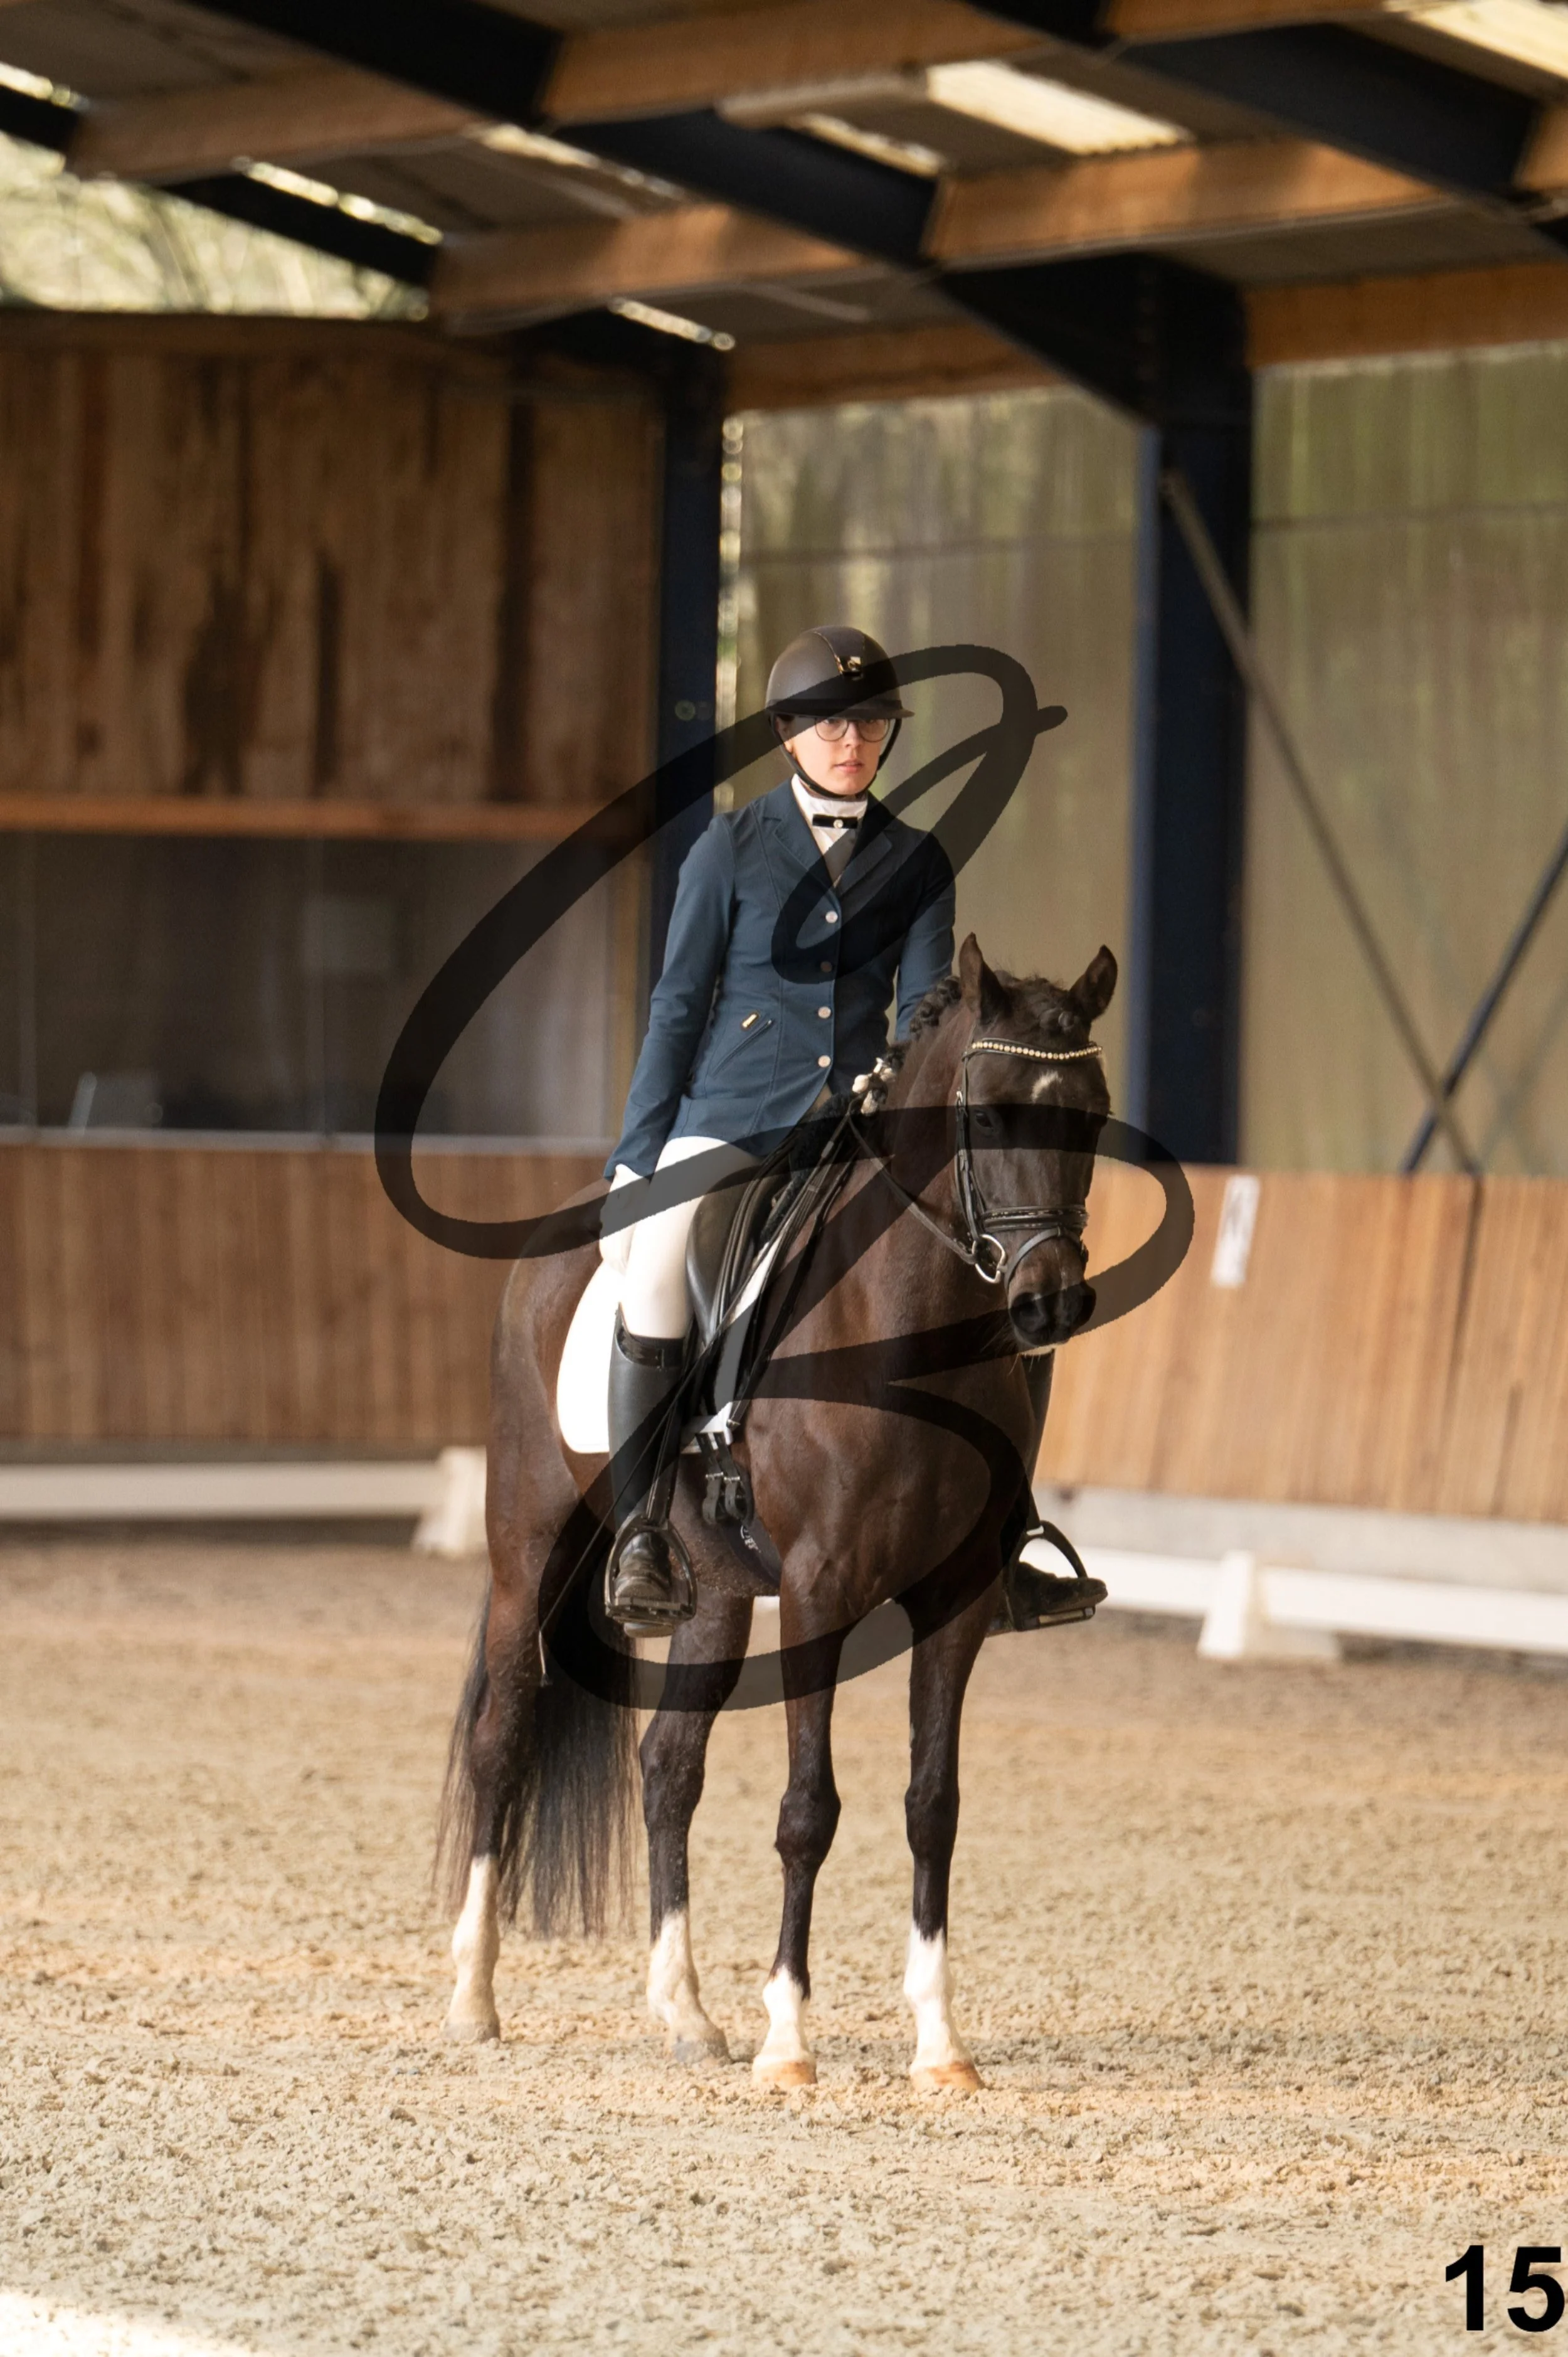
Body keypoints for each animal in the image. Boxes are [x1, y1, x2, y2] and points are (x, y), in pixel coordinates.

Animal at [437, 932, 1116, 2091]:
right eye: (985, 1117)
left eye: (1095, 1114)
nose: (1051, 1302)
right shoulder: (817, 1593)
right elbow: (809, 1811)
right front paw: (790, 2038)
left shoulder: (959, 1603)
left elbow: (932, 1807)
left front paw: (940, 2043)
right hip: (530, 1547)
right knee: (502, 1737)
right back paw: (474, 1995)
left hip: (709, 1589)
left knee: (668, 1767)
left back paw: (686, 2010)